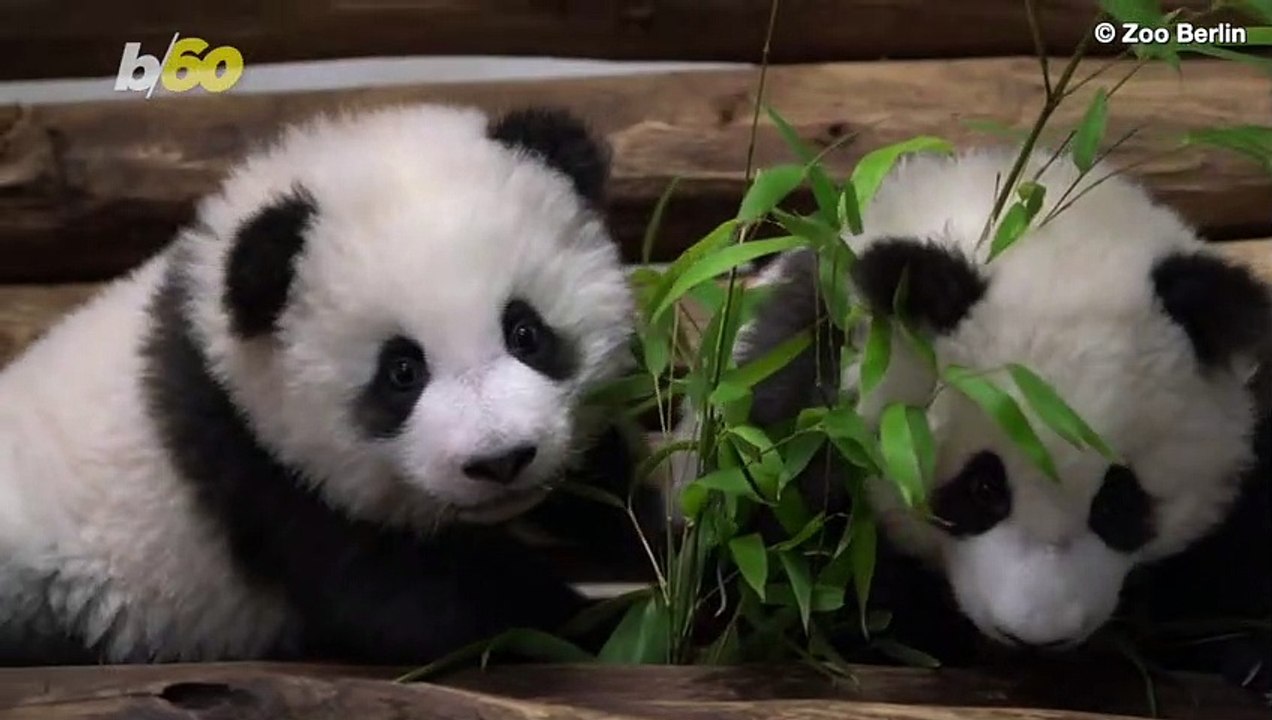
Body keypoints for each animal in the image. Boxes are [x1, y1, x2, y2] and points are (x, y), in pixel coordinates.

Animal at [0, 104, 642, 665]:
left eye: (525, 331)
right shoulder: (254, 457)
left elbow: (610, 484)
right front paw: (609, 624)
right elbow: (412, 596)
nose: (500, 460)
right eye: (401, 372)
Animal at [668, 145, 1271, 691]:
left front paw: (1242, 654)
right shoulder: (806, 387)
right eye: (982, 488)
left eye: (1118, 500)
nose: (1035, 636)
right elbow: (787, 548)